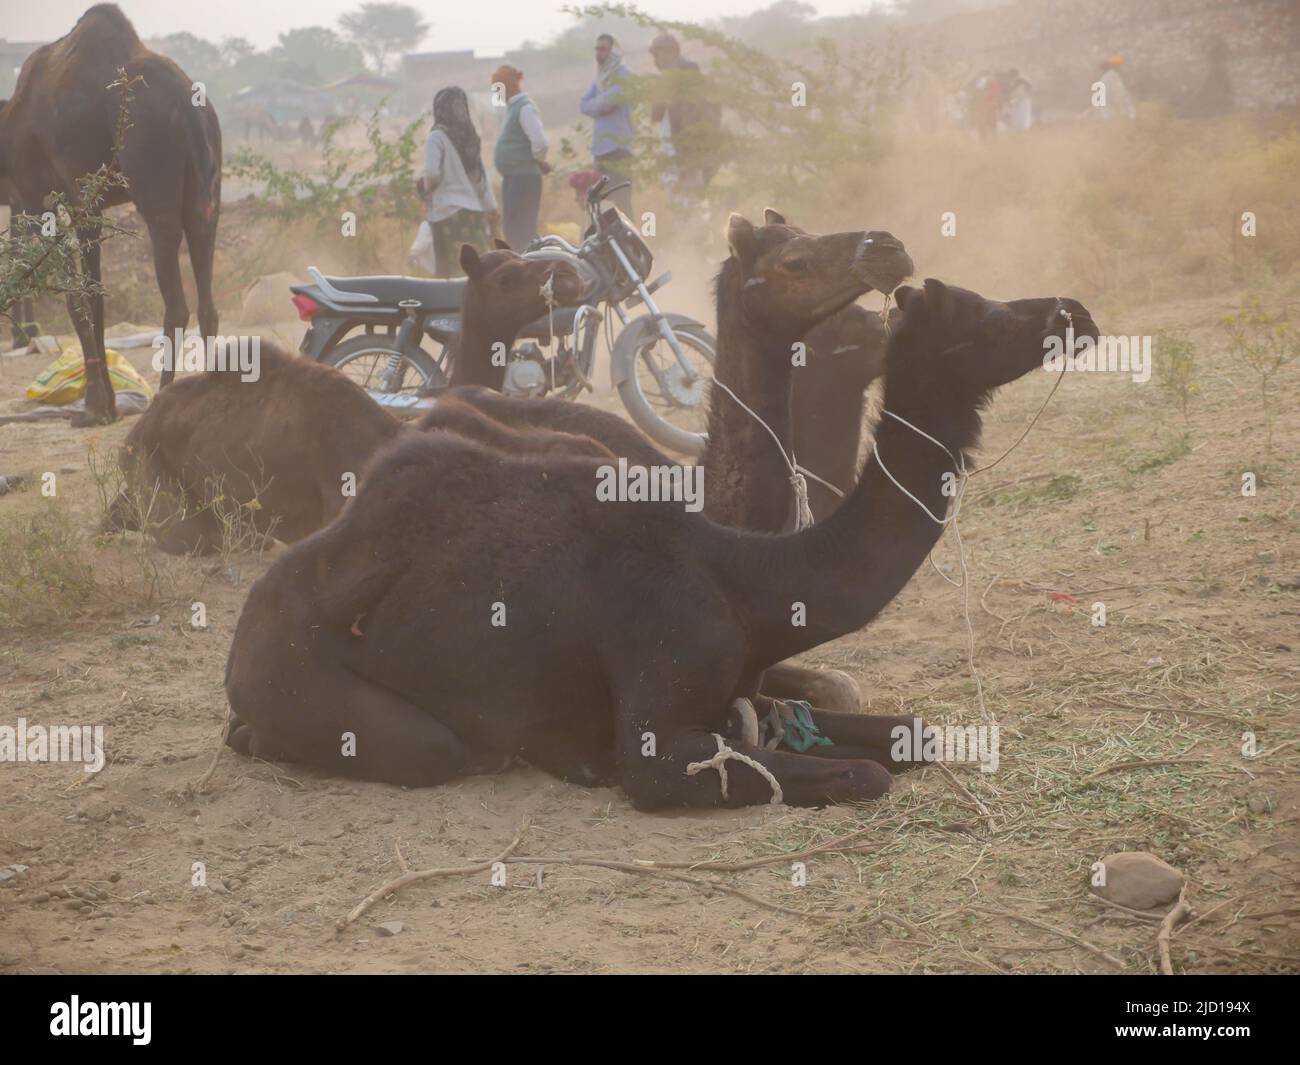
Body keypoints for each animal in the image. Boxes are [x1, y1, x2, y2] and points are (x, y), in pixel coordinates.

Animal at [0, 4, 222, 425]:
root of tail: (190, 109)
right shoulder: (87, 209)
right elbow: (94, 297)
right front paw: (105, 405)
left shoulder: (41, 198)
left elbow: (76, 300)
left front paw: (94, 406)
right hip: (207, 197)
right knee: (207, 301)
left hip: (155, 189)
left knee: (176, 304)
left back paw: (163, 401)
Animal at [223, 255, 1097, 808]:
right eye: (977, 313)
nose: (1073, 310)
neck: (748, 582)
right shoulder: (660, 716)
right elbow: (859, 776)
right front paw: (584, 760)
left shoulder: (753, 693)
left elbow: (912, 732)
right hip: (312, 681)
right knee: (426, 747)